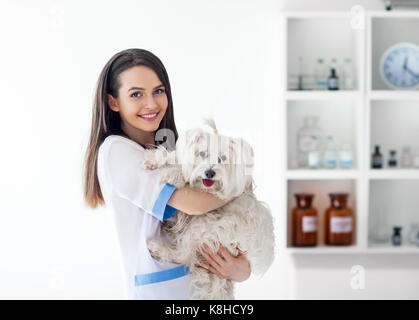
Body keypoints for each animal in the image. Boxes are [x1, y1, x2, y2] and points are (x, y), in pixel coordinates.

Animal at [144, 120, 276, 300]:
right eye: (202, 154)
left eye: (224, 158)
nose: (210, 172)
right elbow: (177, 159)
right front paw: (156, 159)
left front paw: (174, 175)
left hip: (207, 226)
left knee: (184, 255)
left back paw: (158, 247)